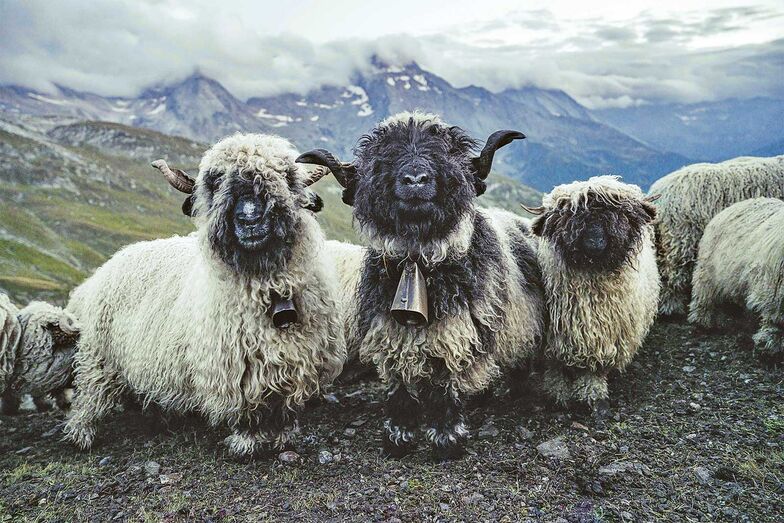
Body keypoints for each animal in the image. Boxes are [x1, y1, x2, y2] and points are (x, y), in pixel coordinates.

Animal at [63, 133, 346, 456]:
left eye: (287, 178)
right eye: (216, 182)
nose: (249, 218)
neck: (269, 288)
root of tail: (107, 265)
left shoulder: (298, 359)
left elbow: (283, 406)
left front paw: (283, 435)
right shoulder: (234, 366)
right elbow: (248, 409)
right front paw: (247, 441)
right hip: (99, 355)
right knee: (89, 394)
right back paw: (81, 434)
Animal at [297, 111, 544, 459]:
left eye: (448, 151)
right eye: (381, 156)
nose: (415, 179)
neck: (417, 261)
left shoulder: (457, 331)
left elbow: (445, 381)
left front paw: (447, 439)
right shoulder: (389, 330)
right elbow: (400, 381)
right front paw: (399, 436)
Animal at [523, 176, 660, 416]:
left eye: (619, 214)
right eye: (568, 216)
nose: (594, 242)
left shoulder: (605, 337)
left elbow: (594, 370)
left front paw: (591, 395)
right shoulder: (552, 341)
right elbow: (555, 367)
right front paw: (556, 393)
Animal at [688, 197, 784, 359]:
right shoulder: (774, 288)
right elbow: (776, 319)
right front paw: (769, 343)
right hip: (709, 271)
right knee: (705, 295)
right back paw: (703, 320)